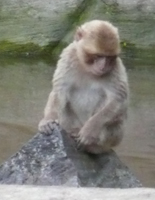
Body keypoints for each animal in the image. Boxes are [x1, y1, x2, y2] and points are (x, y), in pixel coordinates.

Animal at [38, 19, 128, 153]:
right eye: (98, 55)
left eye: (108, 57)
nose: (103, 66)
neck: (87, 68)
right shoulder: (68, 56)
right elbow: (59, 91)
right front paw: (48, 120)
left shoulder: (116, 67)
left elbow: (118, 100)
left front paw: (89, 131)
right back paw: (72, 131)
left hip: (115, 138)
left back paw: (92, 145)